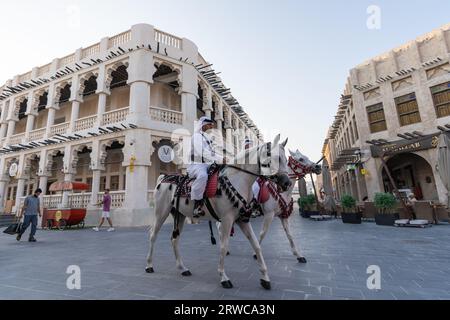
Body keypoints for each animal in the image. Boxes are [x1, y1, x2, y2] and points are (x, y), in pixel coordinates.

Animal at [146, 135, 290, 290]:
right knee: (153, 235)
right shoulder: (227, 220)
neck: (238, 179)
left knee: (175, 239)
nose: (287, 183)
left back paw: (183, 268)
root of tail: (163, 178)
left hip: (180, 215)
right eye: (275, 158)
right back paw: (149, 265)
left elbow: (256, 245)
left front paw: (265, 278)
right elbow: (223, 246)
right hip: (161, 212)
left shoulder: (243, 220)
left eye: (286, 159)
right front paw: (223, 277)